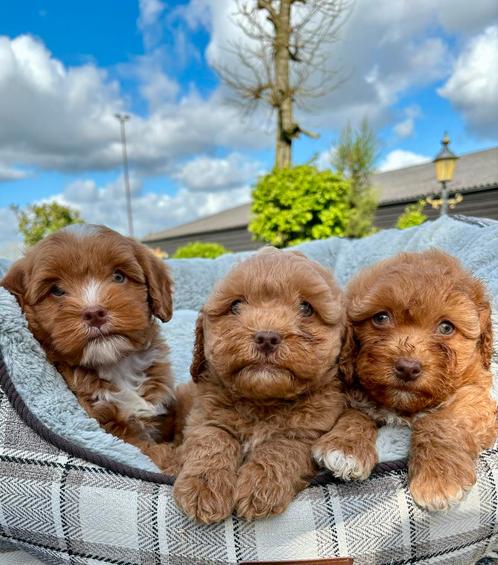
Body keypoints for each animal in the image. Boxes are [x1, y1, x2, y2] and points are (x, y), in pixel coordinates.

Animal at [0, 225, 177, 472]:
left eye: (118, 276)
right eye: (56, 290)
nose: (94, 313)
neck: (116, 365)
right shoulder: (108, 427)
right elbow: (149, 452)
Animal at [173, 249, 348, 524]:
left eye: (306, 308)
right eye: (235, 305)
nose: (267, 337)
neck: (263, 402)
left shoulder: (308, 432)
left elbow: (280, 447)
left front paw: (262, 486)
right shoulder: (204, 418)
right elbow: (213, 440)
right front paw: (204, 488)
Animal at [314, 251, 496, 512]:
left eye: (446, 327)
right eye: (381, 317)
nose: (408, 368)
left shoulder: (476, 396)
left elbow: (440, 421)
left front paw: (437, 478)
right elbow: (356, 413)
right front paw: (344, 448)